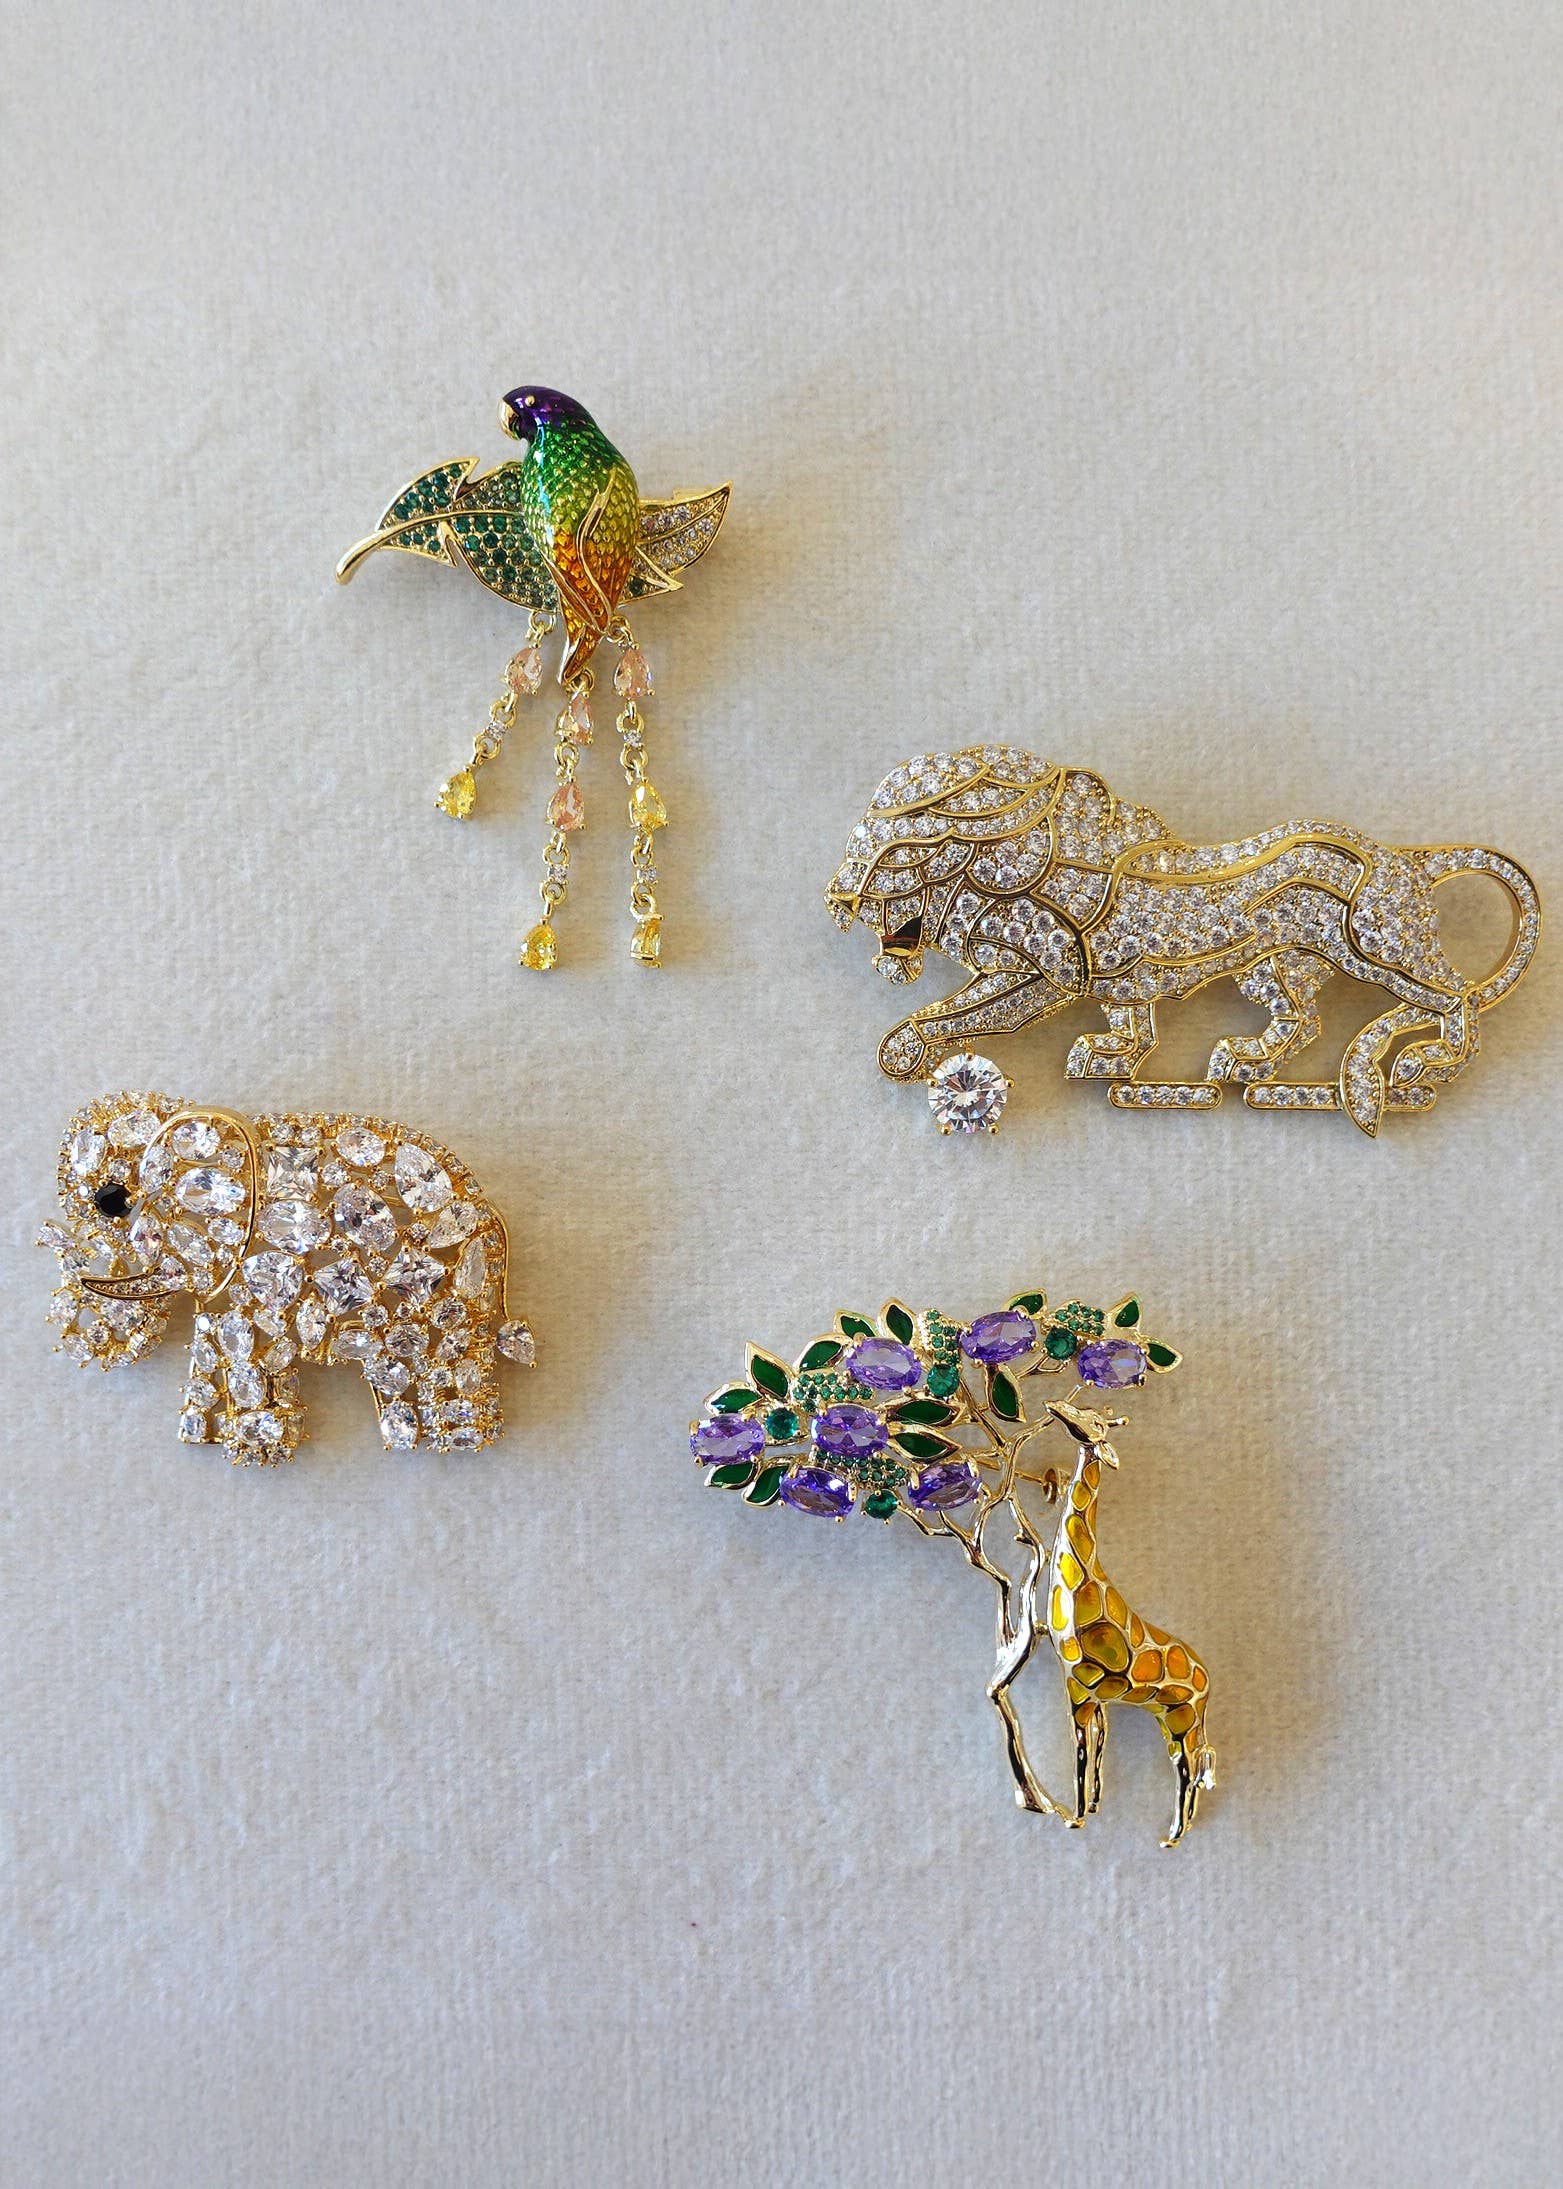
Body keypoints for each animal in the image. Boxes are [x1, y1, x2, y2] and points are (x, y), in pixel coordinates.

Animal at [1044, 1401, 1215, 1846]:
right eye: (1080, 1410)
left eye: (1094, 1423)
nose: (1056, 1406)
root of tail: (1209, 1682)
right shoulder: (1093, 1696)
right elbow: (1097, 1752)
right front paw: (1093, 1807)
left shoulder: (1078, 1687)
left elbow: (1081, 1753)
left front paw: (1076, 1817)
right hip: (1169, 1718)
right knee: (1194, 1764)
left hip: (1184, 1717)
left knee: (1190, 1768)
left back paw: (1172, 1836)